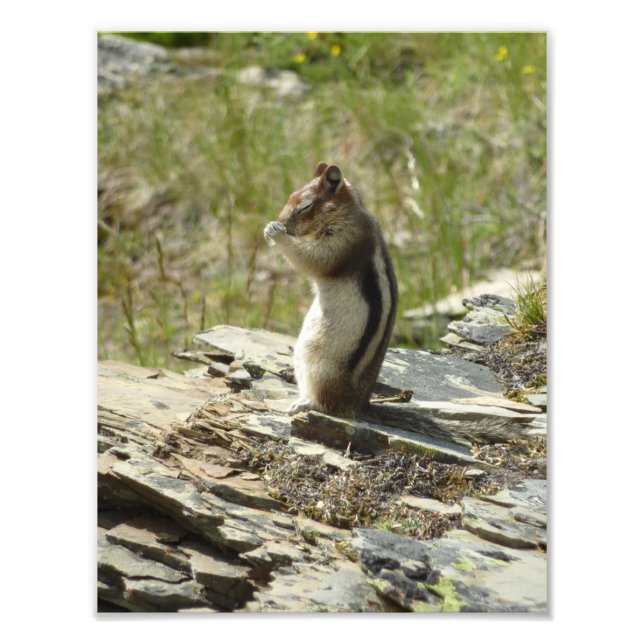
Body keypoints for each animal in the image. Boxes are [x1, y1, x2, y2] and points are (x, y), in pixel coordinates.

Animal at [264, 162, 398, 418]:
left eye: (305, 206)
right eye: (290, 196)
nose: (281, 221)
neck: (346, 211)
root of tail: (358, 404)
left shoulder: (343, 238)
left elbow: (314, 258)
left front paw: (277, 232)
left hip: (316, 360)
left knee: (325, 403)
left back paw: (303, 404)